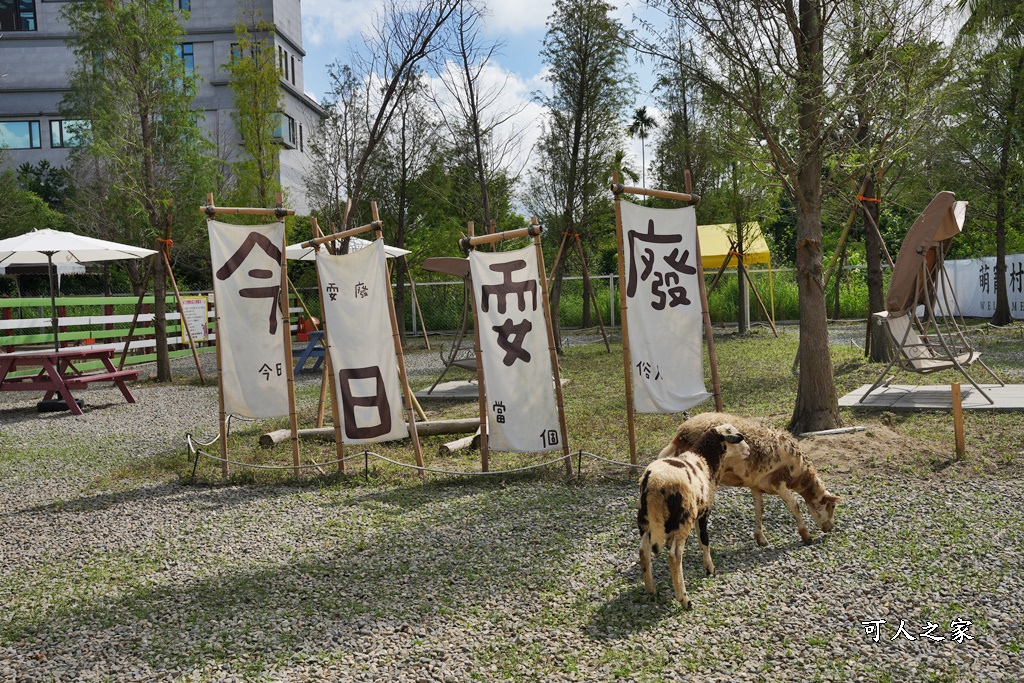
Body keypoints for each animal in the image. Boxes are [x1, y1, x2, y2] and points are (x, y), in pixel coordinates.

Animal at [638, 421, 753, 610]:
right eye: (737, 436)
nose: (749, 450)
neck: (705, 460)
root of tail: (656, 484)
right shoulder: (704, 511)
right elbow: (704, 538)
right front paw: (710, 568)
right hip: (684, 518)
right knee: (674, 556)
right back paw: (685, 600)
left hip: (648, 519)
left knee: (643, 551)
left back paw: (651, 589)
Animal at [663, 411, 839, 548]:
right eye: (832, 506)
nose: (830, 528)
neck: (799, 471)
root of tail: (682, 432)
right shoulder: (779, 482)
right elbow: (794, 505)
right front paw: (806, 535)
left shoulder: (756, 485)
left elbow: (759, 509)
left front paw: (760, 538)